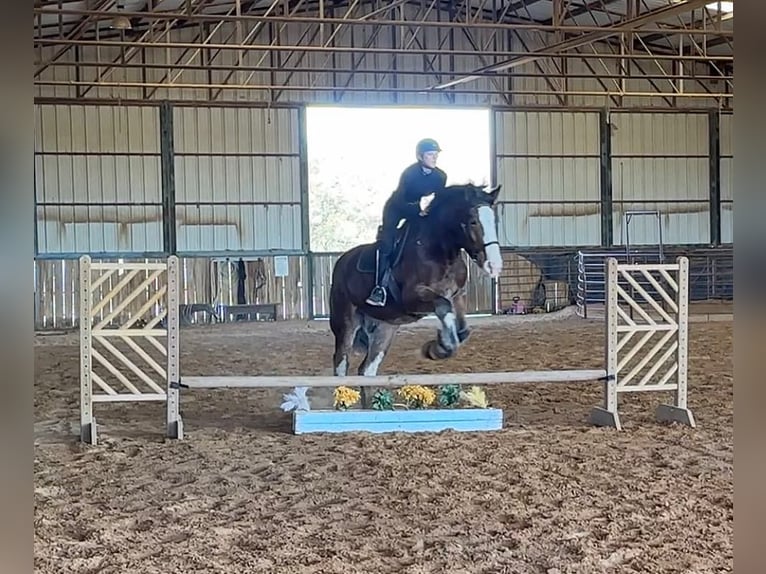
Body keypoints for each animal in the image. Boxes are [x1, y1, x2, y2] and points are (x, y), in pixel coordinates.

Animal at [328, 182, 503, 404]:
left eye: (495, 221)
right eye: (473, 221)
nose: (494, 265)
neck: (440, 251)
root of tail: (342, 261)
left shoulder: (457, 295)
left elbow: (462, 328)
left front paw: (439, 346)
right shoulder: (412, 298)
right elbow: (443, 306)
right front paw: (440, 347)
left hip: (385, 327)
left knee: (366, 371)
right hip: (346, 323)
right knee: (341, 365)